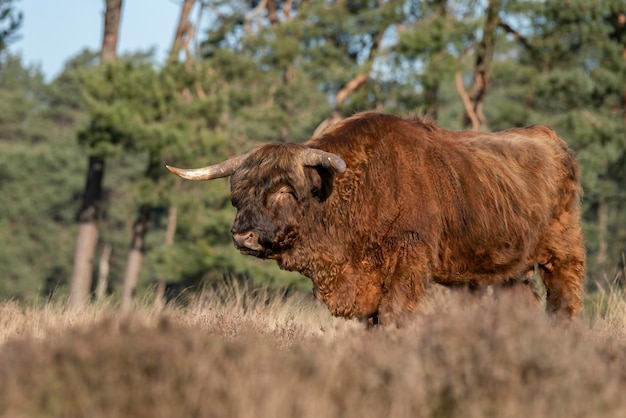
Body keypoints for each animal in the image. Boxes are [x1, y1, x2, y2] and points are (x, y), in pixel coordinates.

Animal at [167, 112, 584, 324]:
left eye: (285, 190)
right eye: (237, 193)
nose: (243, 237)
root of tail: (549, 137)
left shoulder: (409, 260)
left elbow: (394, 314)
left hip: (562, 252)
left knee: (564, 300)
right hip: (507, 268)